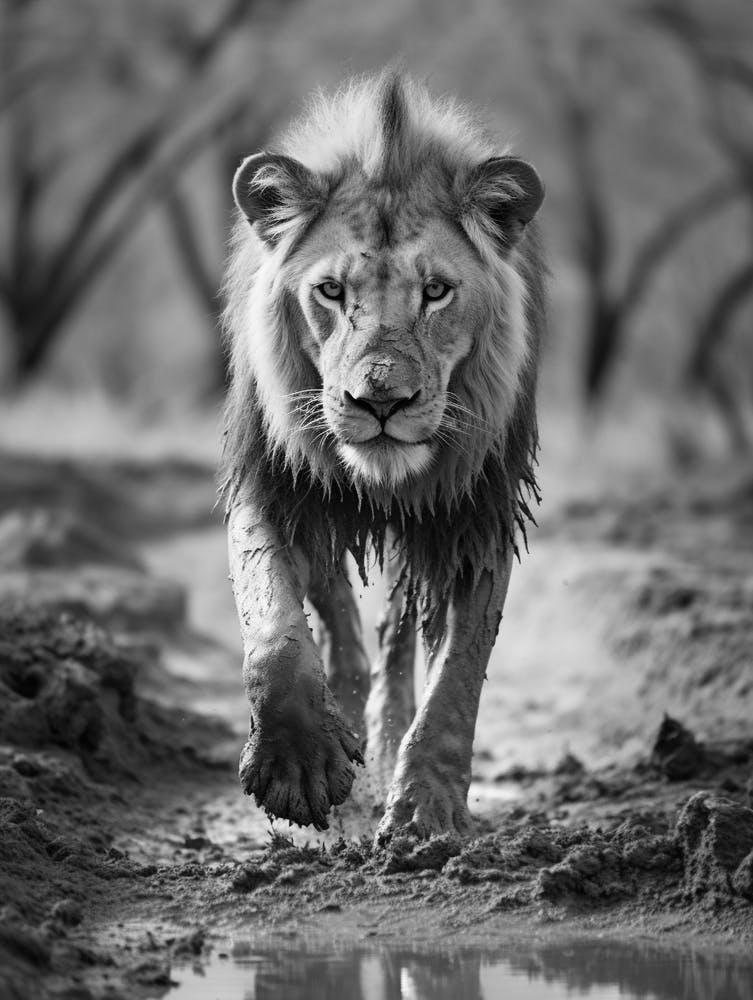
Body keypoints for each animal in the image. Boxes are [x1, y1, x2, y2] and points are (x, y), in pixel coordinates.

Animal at [221, 70, 545, 840]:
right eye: (332, 291)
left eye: (436, 292)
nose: (381, 402)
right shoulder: (270, 484)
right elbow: (275, 628)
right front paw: (298, 768)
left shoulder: (476, 514)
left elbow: (459, 669)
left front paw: (426, 807)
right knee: (333, 611)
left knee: (395, 632)